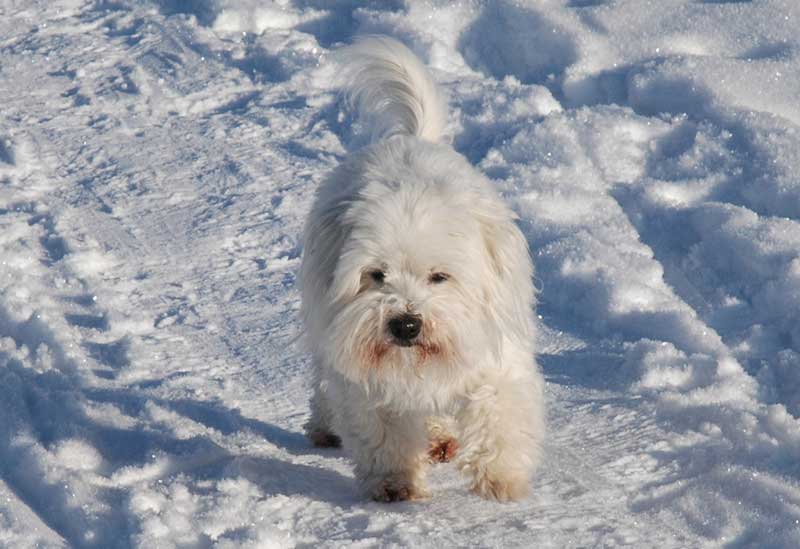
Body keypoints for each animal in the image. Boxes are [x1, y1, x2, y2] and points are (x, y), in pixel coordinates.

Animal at [300, 34, 544, 500]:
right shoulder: (364, 380)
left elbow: (497, 415)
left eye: (439, 277)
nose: (406, 324)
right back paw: (326, 426)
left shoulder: (495, 358)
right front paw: (395, 482)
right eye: (376, 275)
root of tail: (411, 140)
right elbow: (382, 433)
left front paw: (500, 478)